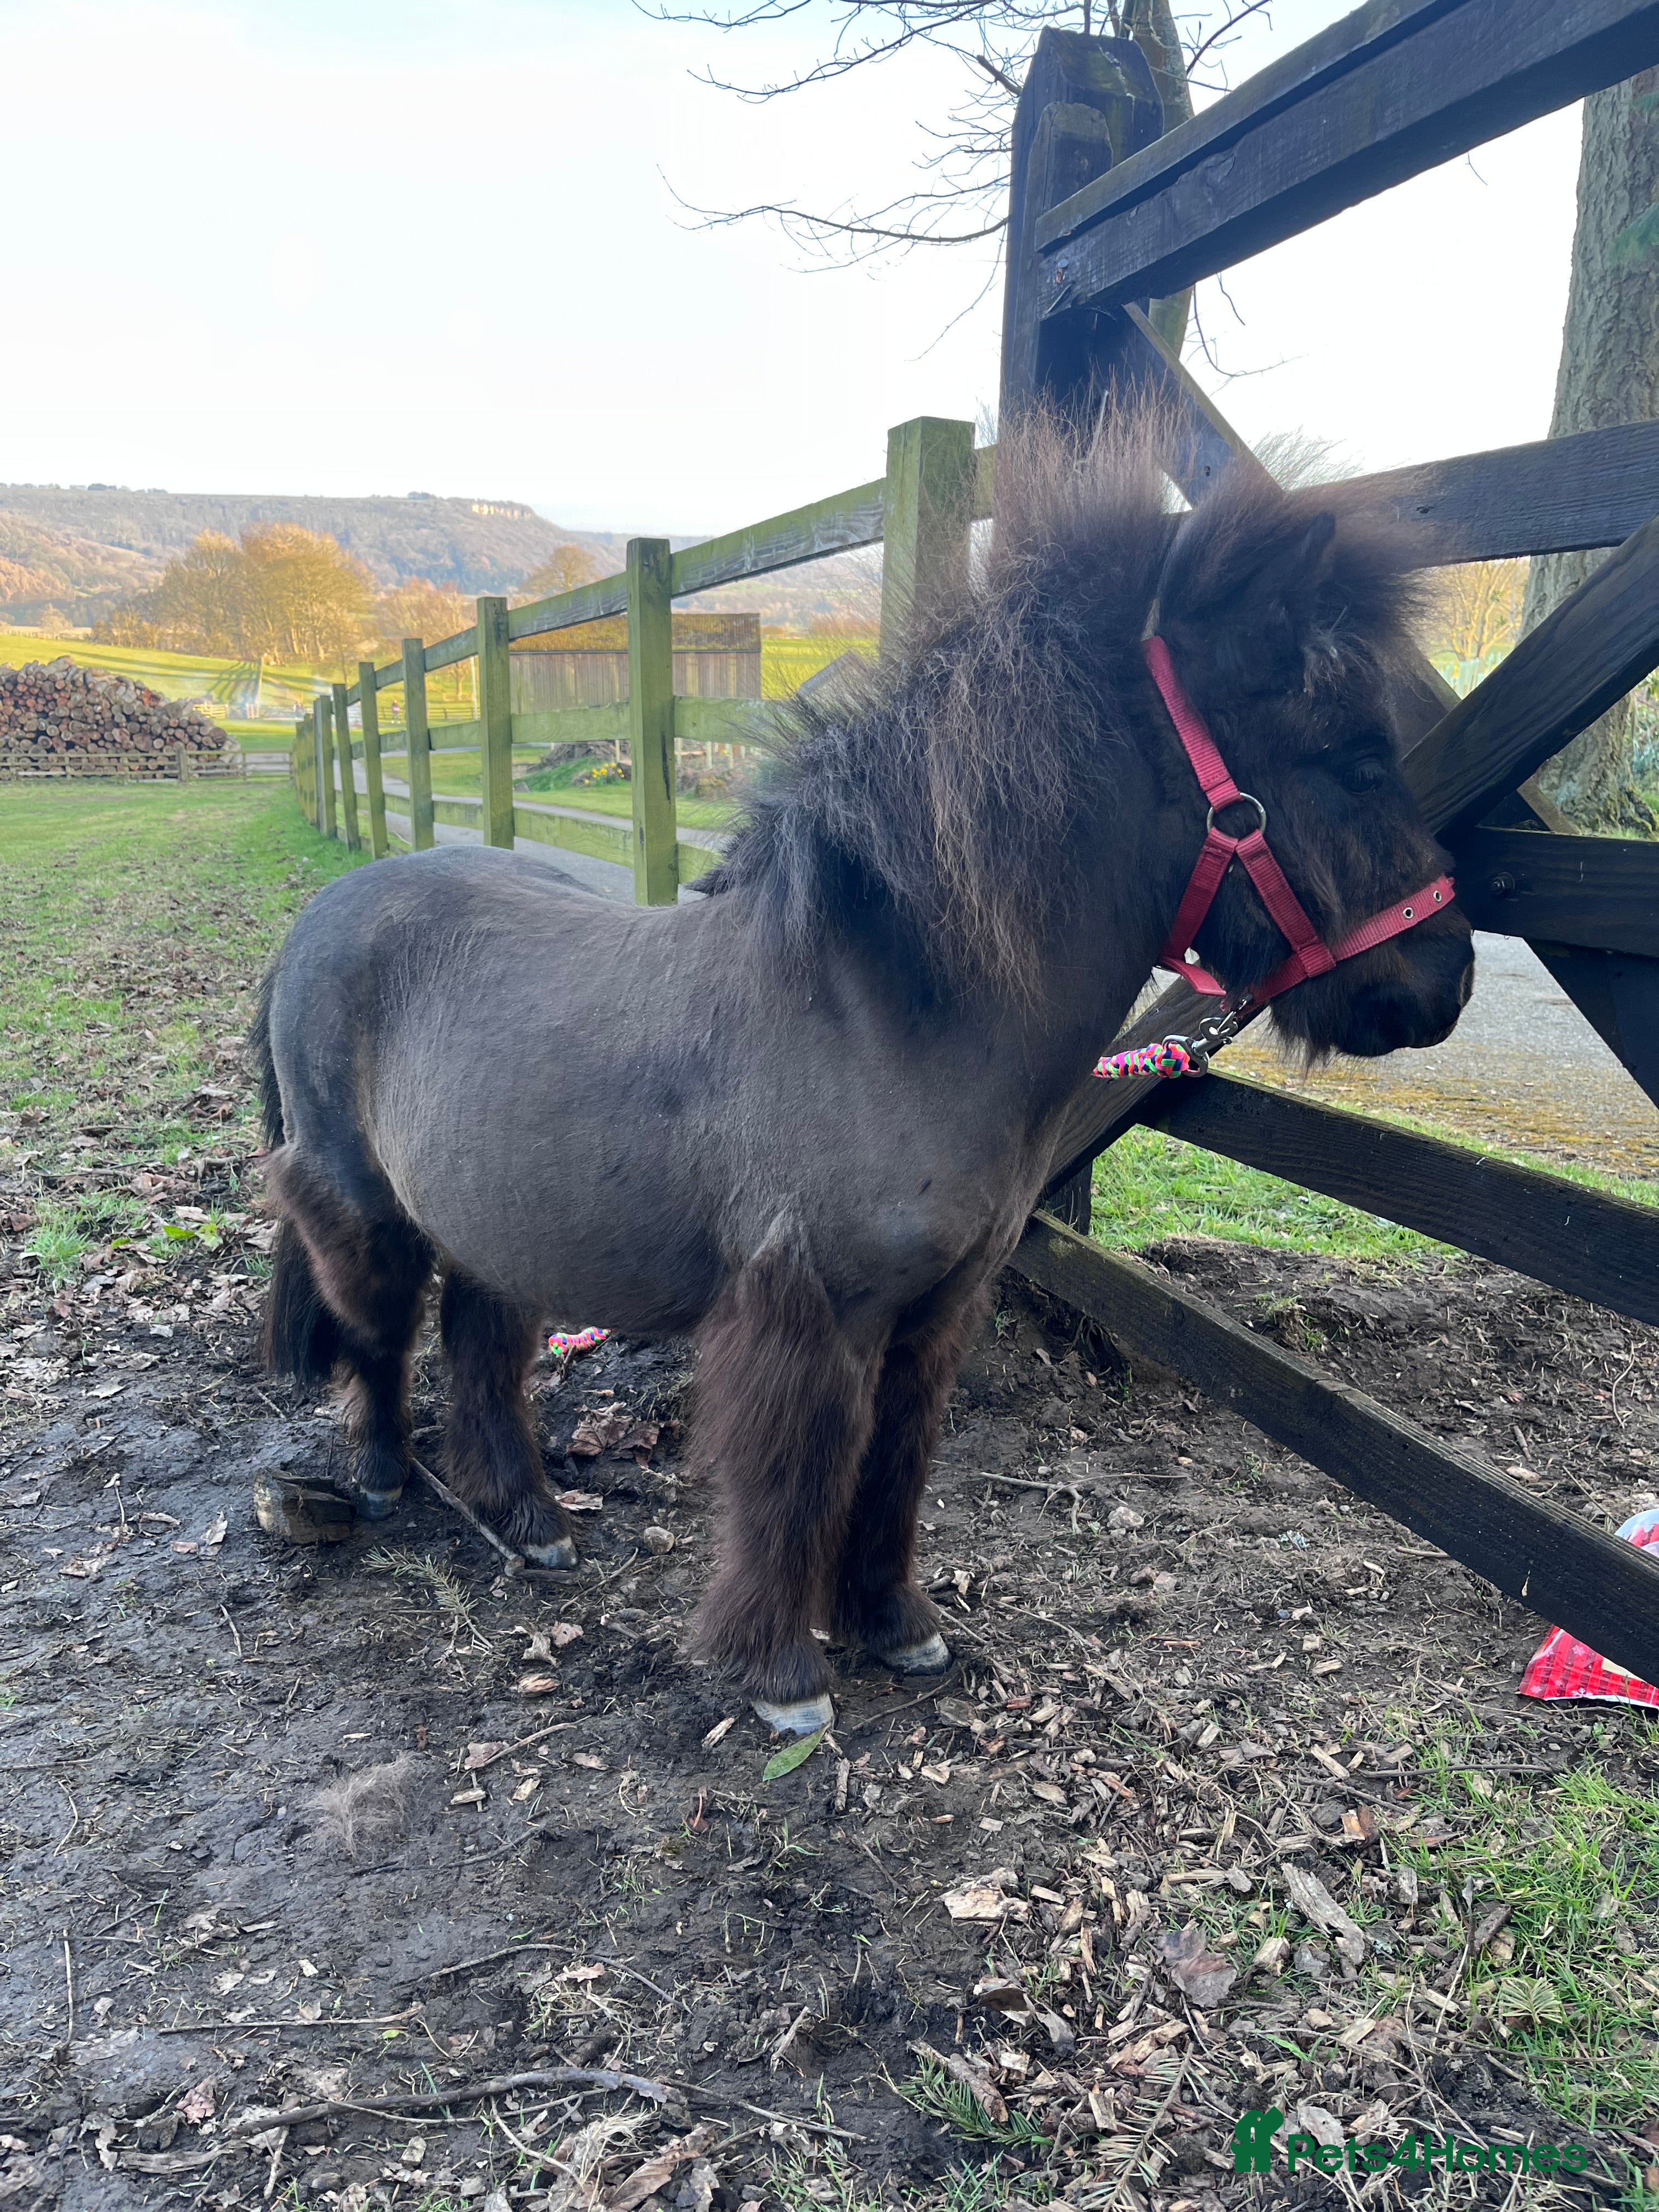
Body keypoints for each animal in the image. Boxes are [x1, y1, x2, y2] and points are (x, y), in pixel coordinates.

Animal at [251, 410, 1473, 1734]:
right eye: (1351, 756)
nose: (1444, 981)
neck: (887, 1014)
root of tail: (319, 919)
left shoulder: (933, 1314)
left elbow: (894, 1466)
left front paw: (895, 1626)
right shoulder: (809, 1315)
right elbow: (797, 1481)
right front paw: (783, 1674)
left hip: (498, 1214)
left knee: (480, 1344)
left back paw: (525, 1518)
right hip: (361, 1205)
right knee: (377, 1333)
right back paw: (381, 1478)